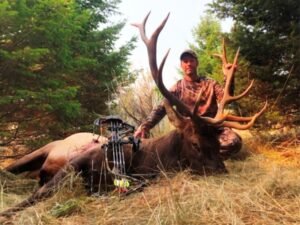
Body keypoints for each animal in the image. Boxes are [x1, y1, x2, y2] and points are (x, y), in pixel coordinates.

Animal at [0, 11, 268, 216]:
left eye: (216, 141)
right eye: (195, 143)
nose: (222, 172)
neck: (151, 160)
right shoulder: (78, 163)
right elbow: (34, 197)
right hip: (44, 151)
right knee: (13, 170)